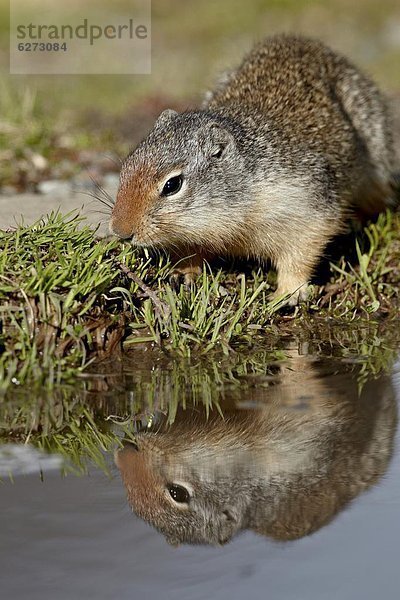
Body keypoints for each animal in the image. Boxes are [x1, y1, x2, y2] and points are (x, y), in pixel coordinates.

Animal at [110, 35, 396, 302]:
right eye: (126, 166)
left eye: (172, 185)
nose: (120, 231)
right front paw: (183, 273)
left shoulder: (308, 207)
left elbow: (300, 255)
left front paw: (288, 293)